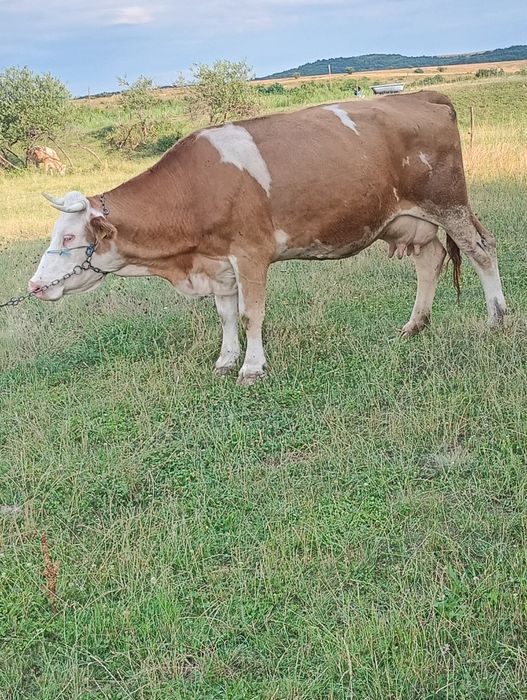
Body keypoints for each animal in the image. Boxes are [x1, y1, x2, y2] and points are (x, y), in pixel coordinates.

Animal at [29, 90, 507, 385]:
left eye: (69, 239)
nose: (33, 286)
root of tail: (422, 95)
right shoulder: (217, 262)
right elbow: (225, 315)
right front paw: (225, 361)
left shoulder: (250, 253)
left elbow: (250, 314)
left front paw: (252, 368)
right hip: (407, 220)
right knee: (430, 261)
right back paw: (414, 325)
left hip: (449, 203)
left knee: (482, 250)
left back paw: (496, 318)